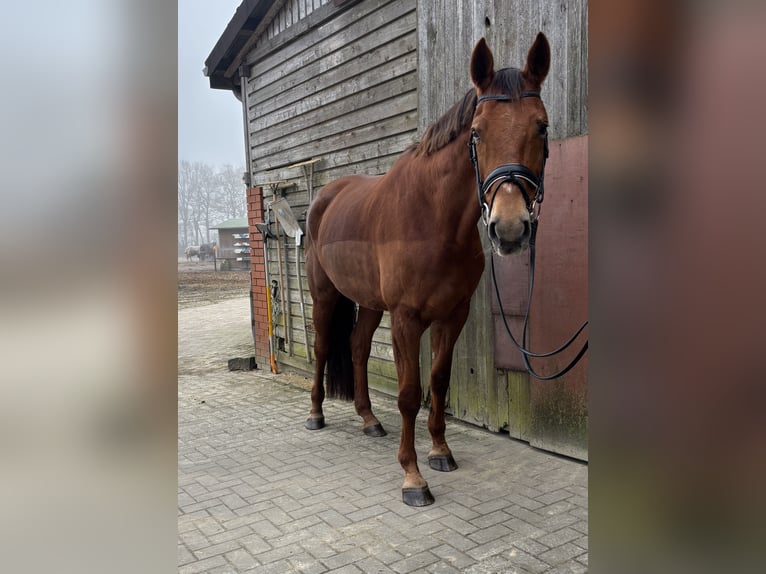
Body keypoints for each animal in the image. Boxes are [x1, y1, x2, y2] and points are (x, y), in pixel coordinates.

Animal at [304, 33, 552, 508]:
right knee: (324, 348)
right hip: (325, 295)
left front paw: (440, 452)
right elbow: (408, 393)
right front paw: (413, 478)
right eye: (476, 132)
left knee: (358, 347)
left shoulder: (451, 315)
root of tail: (326, 195)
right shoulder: (406, 318)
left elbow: (437, 381)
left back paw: (368, 420)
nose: (510, 229)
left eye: (542, 126)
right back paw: (315, 414)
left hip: (369, 302)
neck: (435, 220)